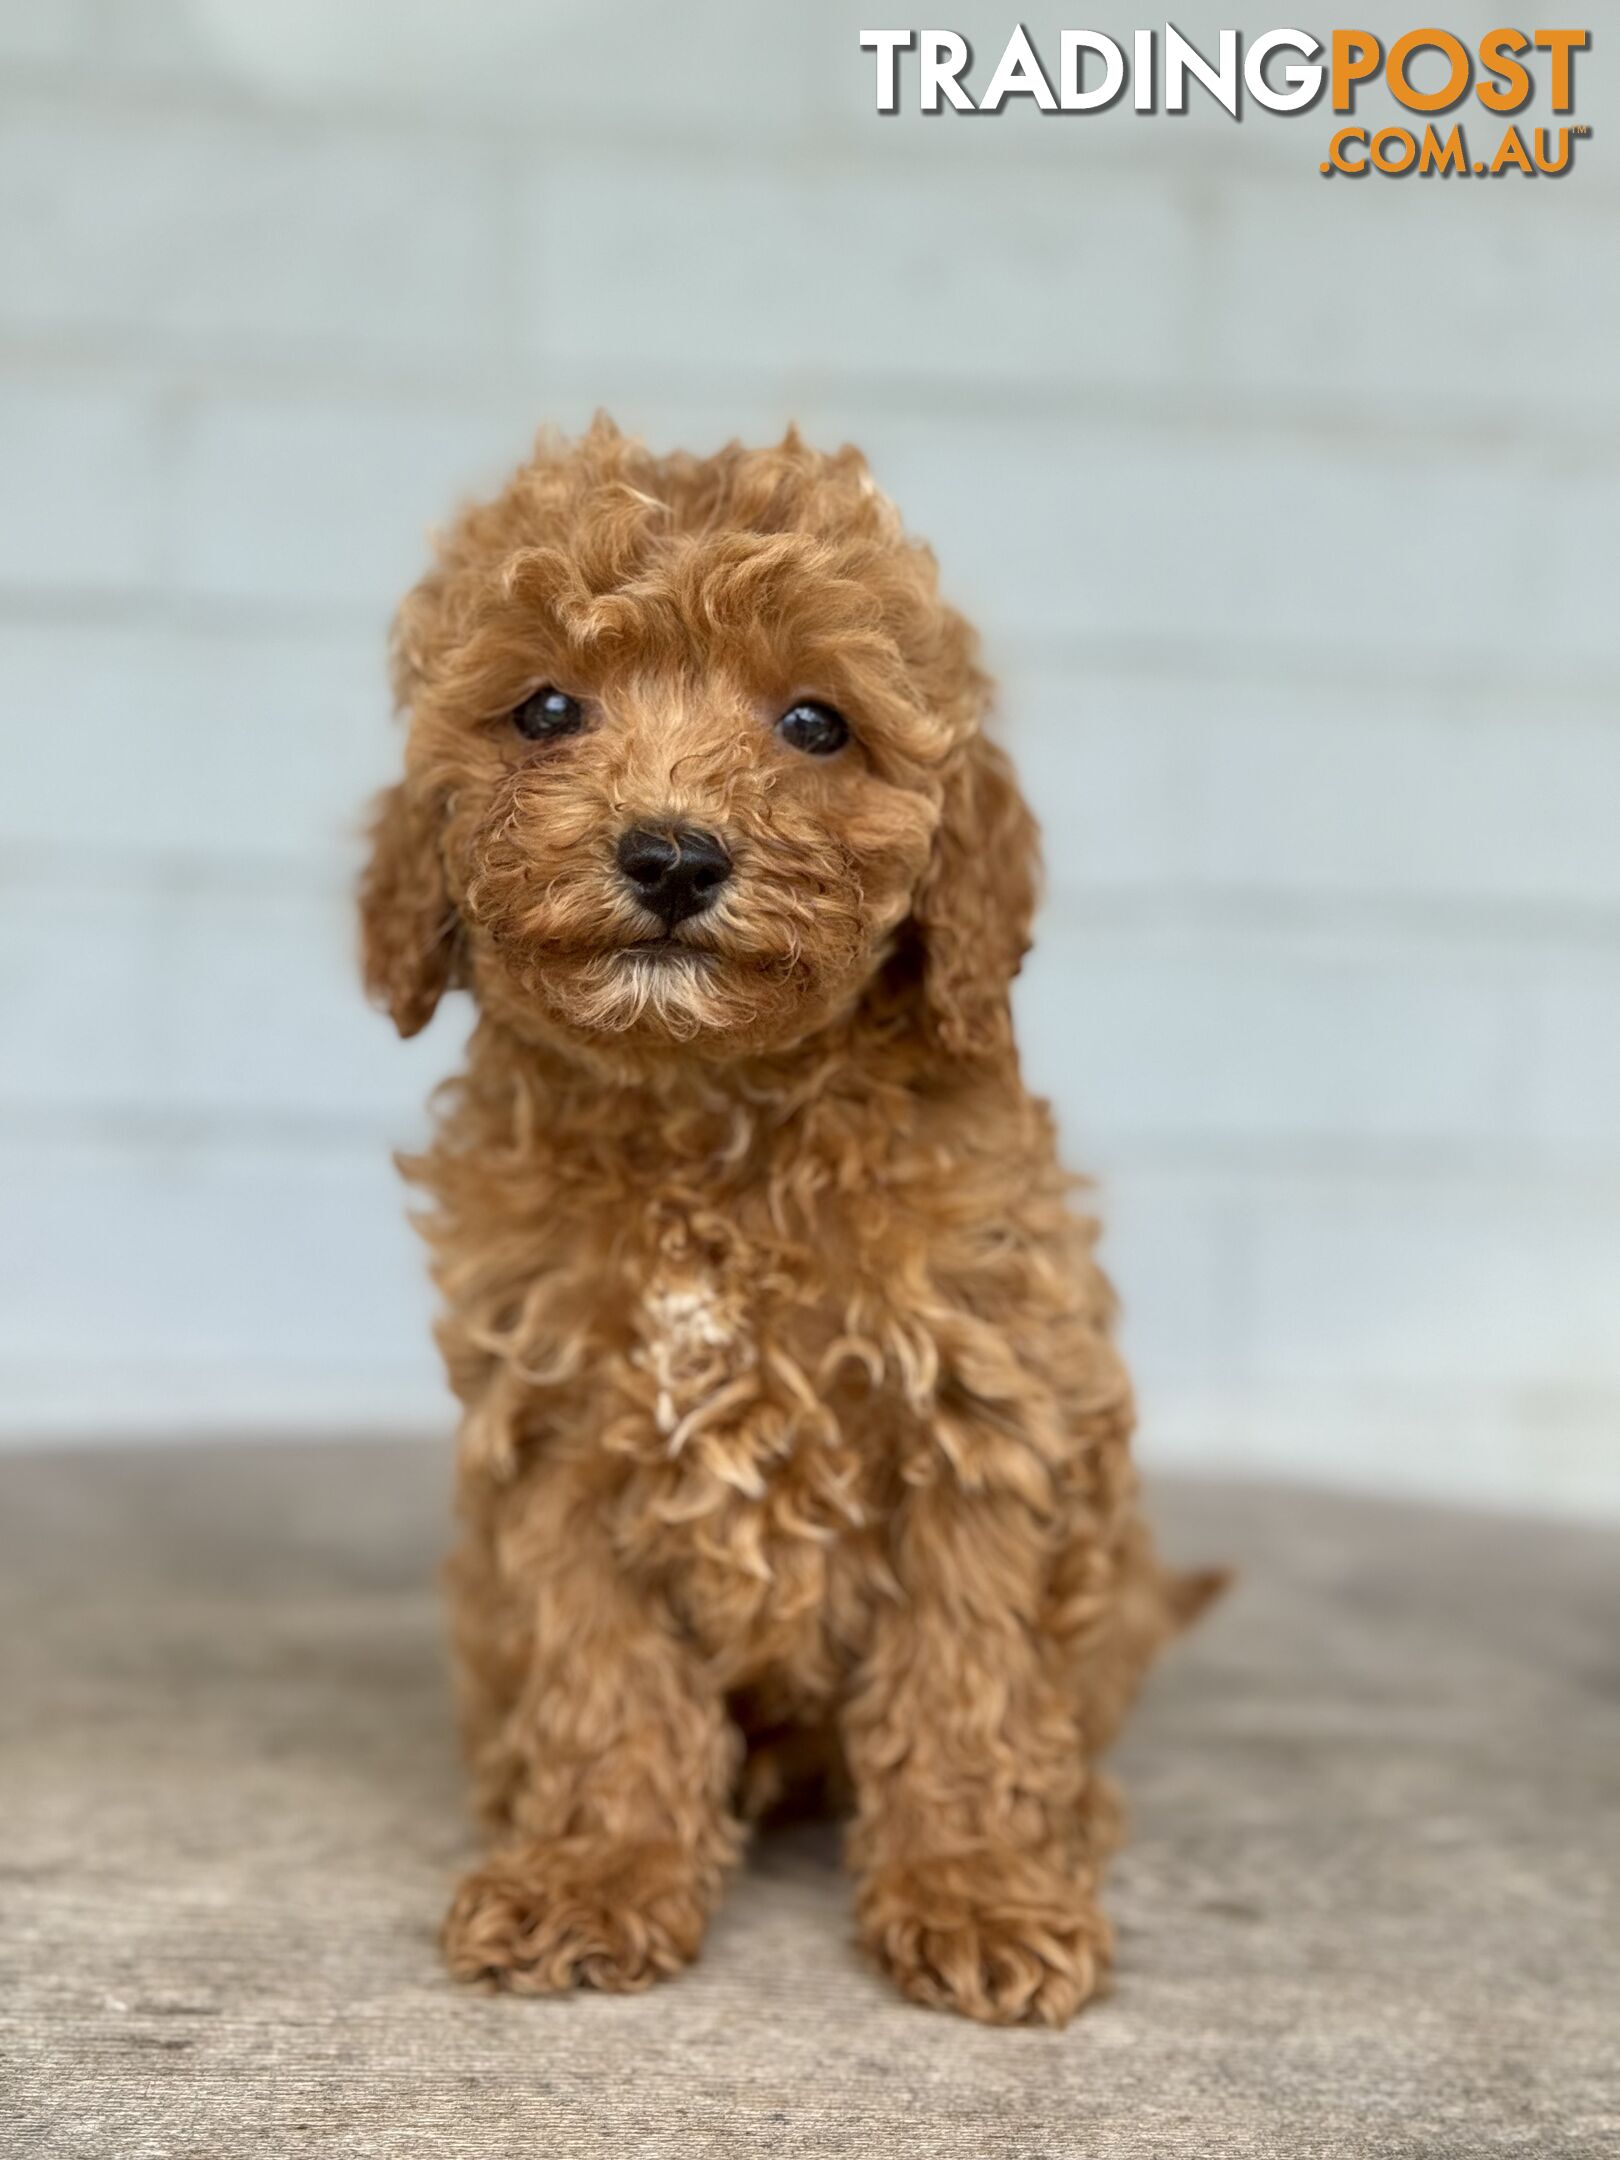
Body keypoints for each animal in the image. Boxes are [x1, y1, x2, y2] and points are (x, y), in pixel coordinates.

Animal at [360, 416, 1226, 2021]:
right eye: (545, 708)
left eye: (817, 725)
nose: (672, 856)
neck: (710, 1113)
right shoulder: (562, 1437)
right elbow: (606, 1675)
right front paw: (599, 1868)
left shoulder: (982, 1415)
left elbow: (967, 1678)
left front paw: (976, 1888)